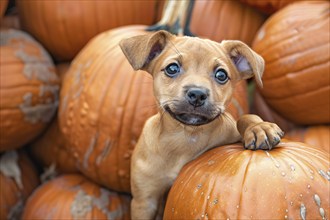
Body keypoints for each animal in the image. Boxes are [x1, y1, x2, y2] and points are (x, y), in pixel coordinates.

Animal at [119, 30, 284, 219]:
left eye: (221, 75)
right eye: (172, 68)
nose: (197, 94)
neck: (185, 136)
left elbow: (245, 118)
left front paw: (259, 128)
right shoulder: (145, 202)